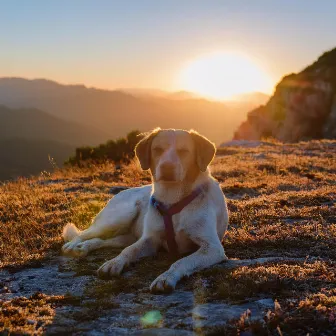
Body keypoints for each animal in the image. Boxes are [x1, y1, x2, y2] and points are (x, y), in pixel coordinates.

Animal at [61, 127, 230, 292]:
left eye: (184, 151)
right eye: (158, 149)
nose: (167, 167)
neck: (172, 200)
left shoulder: (212, 247)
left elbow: (182, 261)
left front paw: (166, 277)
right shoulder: (150, 239)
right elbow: (129, 251)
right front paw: (114, 262)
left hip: (126, 235)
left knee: (102, 240)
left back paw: (84, 247)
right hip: (119, 217)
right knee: (85, 234)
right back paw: (73, 245)